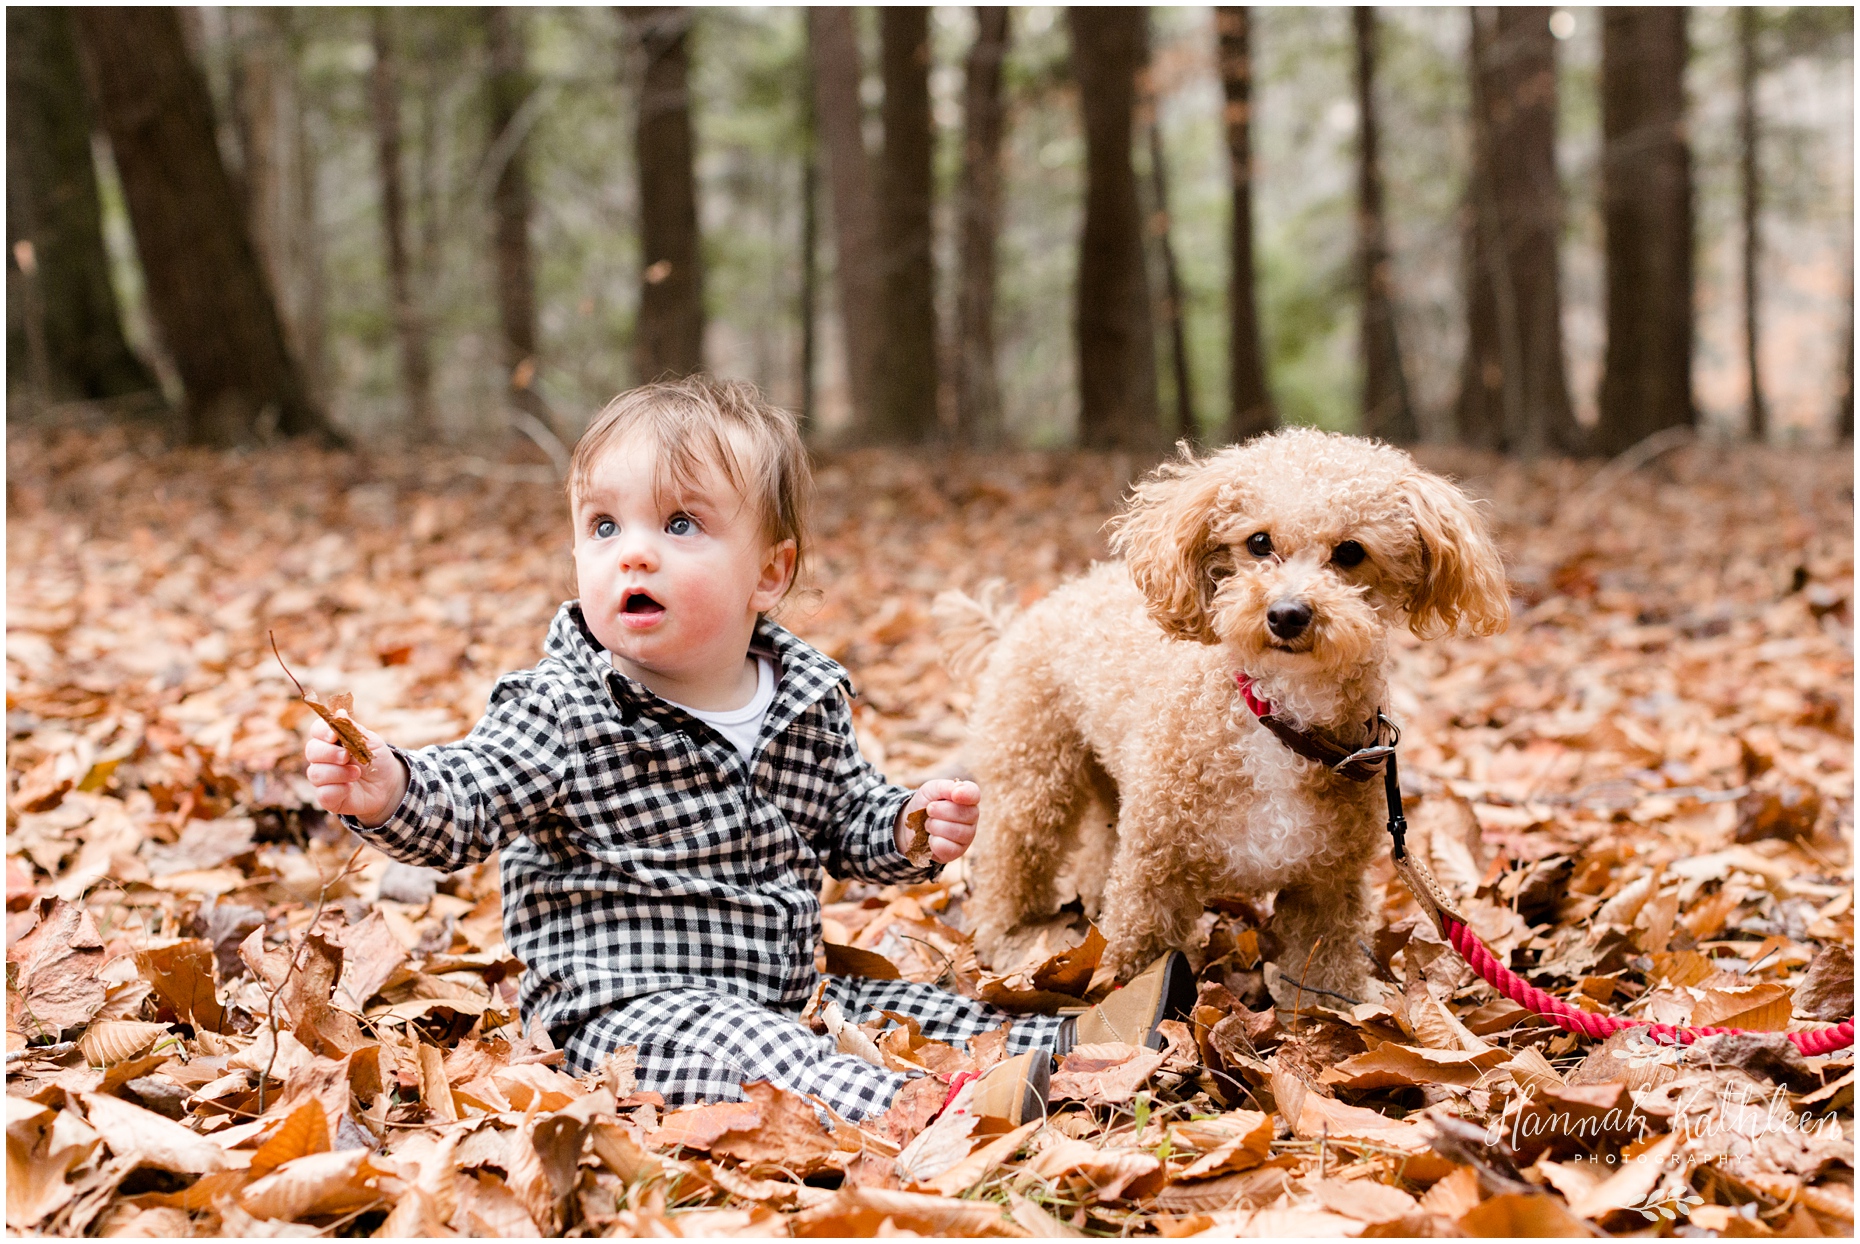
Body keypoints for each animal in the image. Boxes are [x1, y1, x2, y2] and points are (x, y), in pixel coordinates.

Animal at [944, 427, 1510, 996]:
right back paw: (1009, 939)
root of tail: (1028, 614)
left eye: (1352, 551)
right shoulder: (1153, 872)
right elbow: (1132, 953)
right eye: (1259, 542)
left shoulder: (1328, 884)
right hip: (1035, 776)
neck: (1278, 717)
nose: (1287, 614)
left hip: (1111, 789)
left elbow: (1326, 972)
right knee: (1013, 859)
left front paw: (1344, 1006)